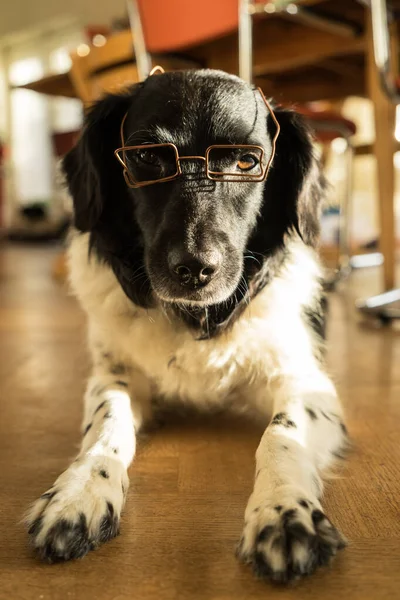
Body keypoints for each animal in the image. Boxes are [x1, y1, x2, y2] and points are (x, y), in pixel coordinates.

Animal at [26, 69, 348, 580]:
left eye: (246, 160)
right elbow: (106, 426)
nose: (195, 269)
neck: (196, 318)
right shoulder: (113, 375)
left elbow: (281, 434)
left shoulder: (305, 381)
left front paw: (283, 511)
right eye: (147, 158)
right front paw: (78, 492)